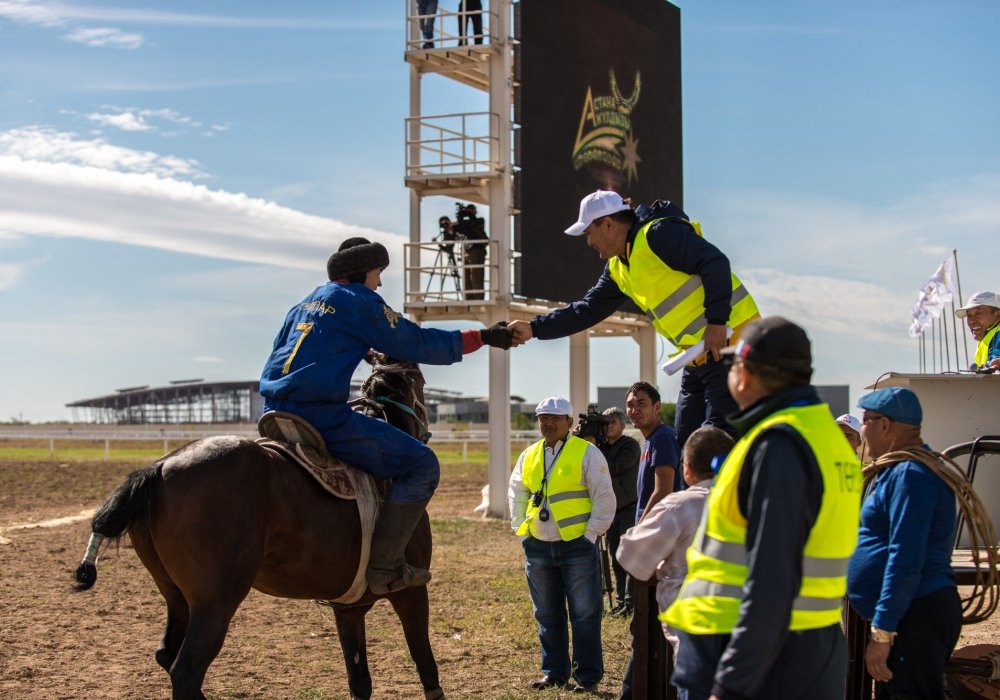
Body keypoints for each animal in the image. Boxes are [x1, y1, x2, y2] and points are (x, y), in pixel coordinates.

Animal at [72, 356, 444, 700]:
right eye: (422, 381)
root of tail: (159, 468)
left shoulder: (348, 610)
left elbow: (360, 683)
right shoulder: (411, 593)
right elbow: (426, 667)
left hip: (176, 596)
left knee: (167, 654)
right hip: (215, 602)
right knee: (186, 670)